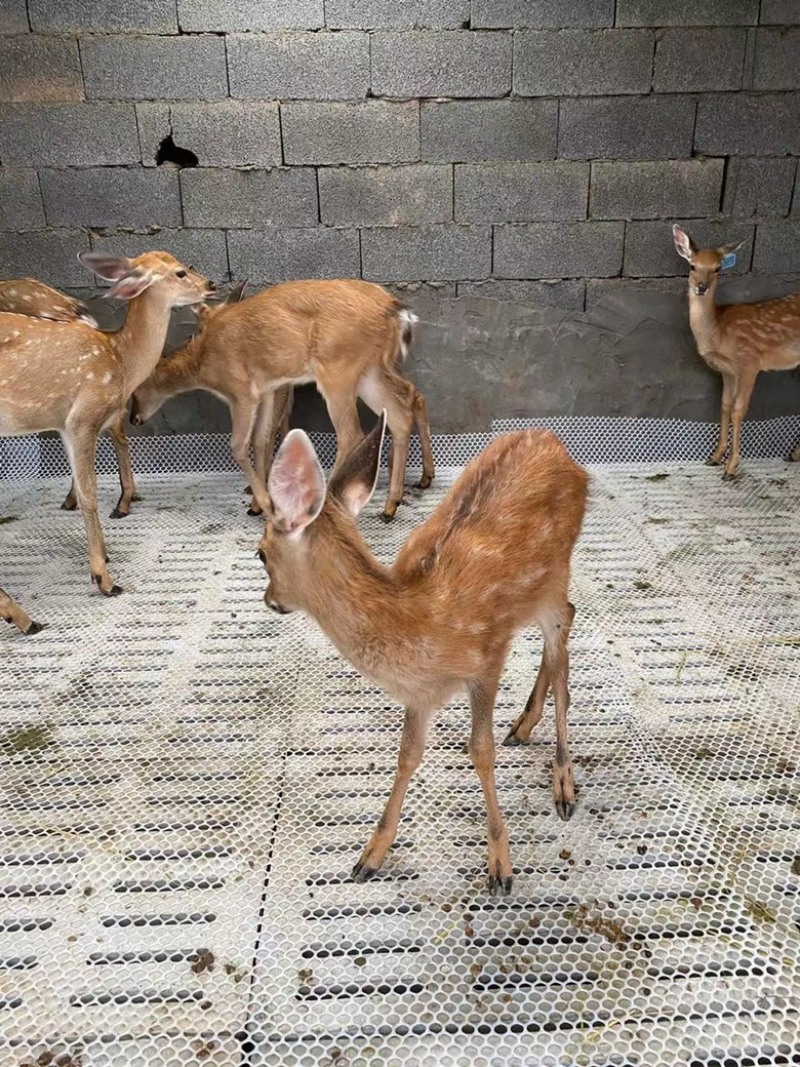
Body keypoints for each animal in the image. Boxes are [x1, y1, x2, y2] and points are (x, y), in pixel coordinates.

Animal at [129, 279, 435, 522]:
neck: (204, 362)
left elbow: (239, 444)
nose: (133, 418)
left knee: (352, 432)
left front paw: (263, 503)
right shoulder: (266, 389)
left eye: (134, 389)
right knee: (402, 408)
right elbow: (261, 438)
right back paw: (392, 505)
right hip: (367, 372)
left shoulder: (244, 392)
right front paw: (259, 500)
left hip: (337, 371)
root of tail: (396, 310)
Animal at [258, 415, 588, 894]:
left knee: (563, 633)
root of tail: (553, 441)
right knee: (563, 628)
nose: (271, 601)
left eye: (261, 554)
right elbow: (408, 755)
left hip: (557, 570)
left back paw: (563, 781)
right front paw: (370, 855)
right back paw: (523, 725)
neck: (417, 624)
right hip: (533, 593)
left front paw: (500, 866)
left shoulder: (486, 658)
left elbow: (480, 751)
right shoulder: (420, 694)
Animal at [673, 224, 800, 479]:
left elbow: (738, 410)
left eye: (717, 268)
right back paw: (794, 454)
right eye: (693, 266)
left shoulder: (750, 362)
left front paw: (731, 467)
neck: (718, 333)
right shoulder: (727, 370)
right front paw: (715, 457)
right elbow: (724, 406)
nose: (701, 287)